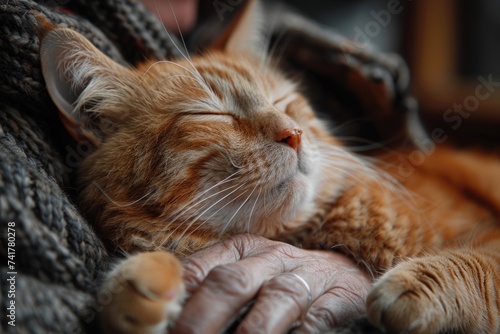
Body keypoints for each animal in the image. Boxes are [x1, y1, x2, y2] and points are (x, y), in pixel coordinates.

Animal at [36, 1, 500, 332]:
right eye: (211, 115)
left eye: (283, 102)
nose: (293, 133)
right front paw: (138, 284)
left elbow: (477, 265)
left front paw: (417, 286)